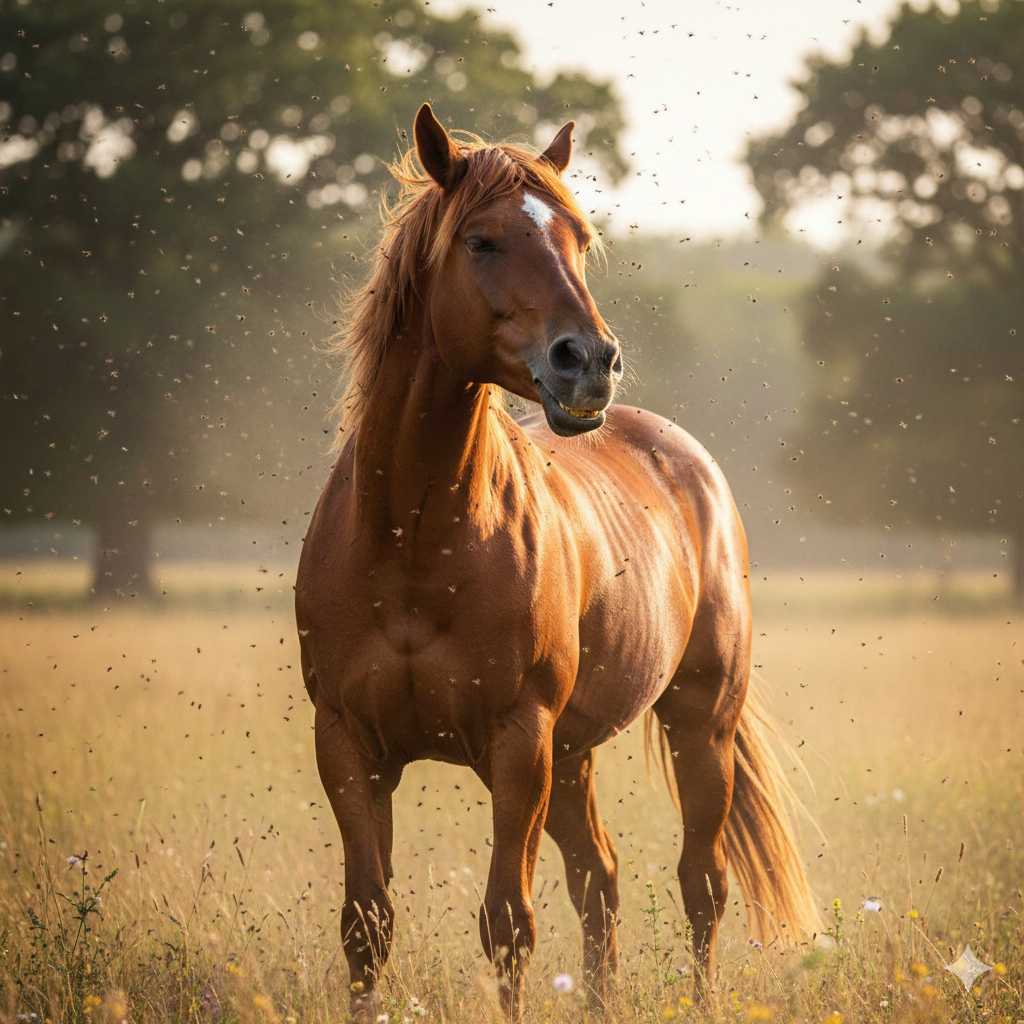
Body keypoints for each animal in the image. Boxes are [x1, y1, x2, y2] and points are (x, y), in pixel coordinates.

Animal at [295, 103, 820, 1021]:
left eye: (577, 238)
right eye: (481, 241)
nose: (591, 363)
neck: (410, 542)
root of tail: (684, 456)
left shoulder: (518, 742)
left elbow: (507, 924)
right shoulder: (350, 745)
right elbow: (367, 922)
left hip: (696, 725)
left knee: (702, 884)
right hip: (575, 756)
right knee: (600, 884)